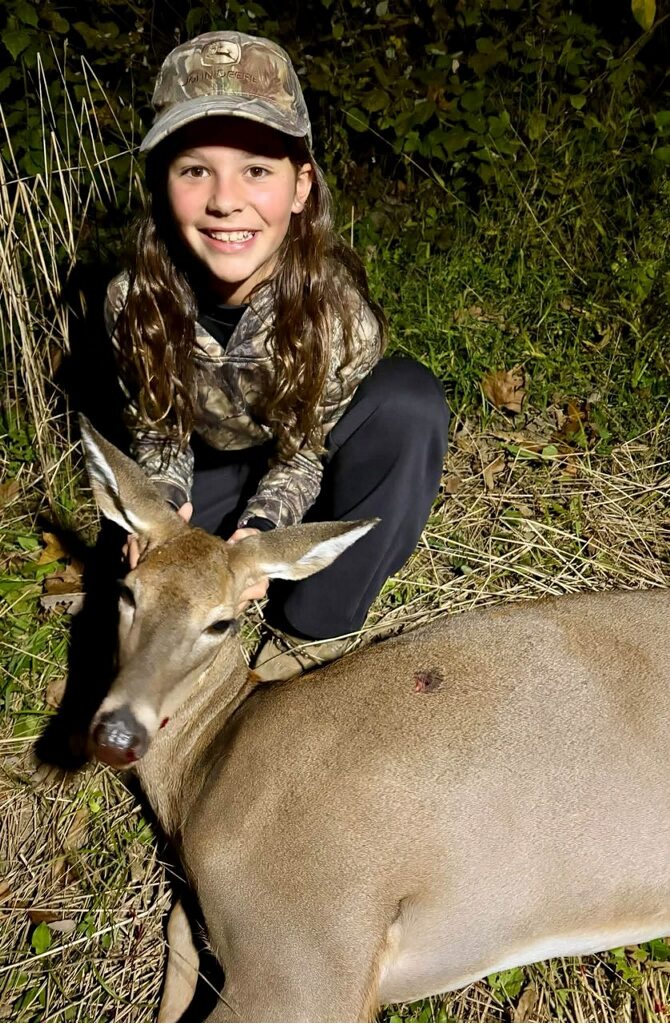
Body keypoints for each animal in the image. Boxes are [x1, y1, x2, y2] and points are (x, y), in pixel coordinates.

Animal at [79, 417, 670, 1023]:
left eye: (221, 623)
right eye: (128, 592)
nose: (118, 735)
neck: (202, 772)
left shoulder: (305, 945)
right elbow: (176, 934)